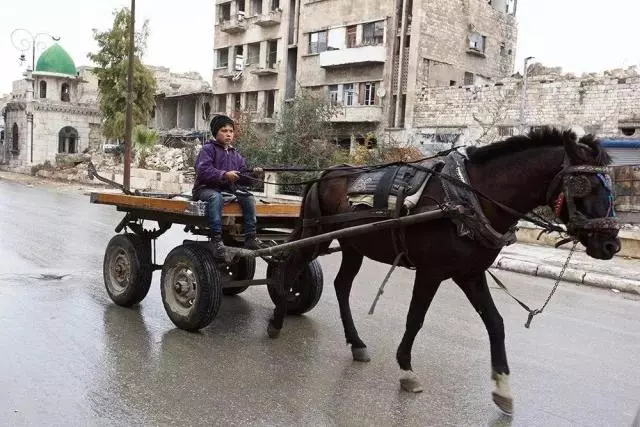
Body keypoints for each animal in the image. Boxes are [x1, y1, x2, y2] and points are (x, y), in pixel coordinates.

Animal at [264, 127, 620, 414]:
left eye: (611, 186)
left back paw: (356, 342)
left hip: (353, 245)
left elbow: (495, 323)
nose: (611, 245)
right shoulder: (431, 271)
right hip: (316, 235)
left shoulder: (470, 273)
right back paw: (278, 318)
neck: (470, 197)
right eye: (583, 184)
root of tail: (327, 172)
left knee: (340, 285)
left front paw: (502, 387)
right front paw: (406, 370)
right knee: (290, 265)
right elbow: (416, 318)